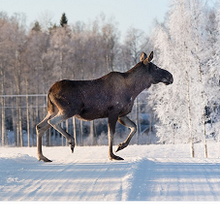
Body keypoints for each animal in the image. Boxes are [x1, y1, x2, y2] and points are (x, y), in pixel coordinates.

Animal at [36, 51, 174, 162]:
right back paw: (71, 141)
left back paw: (42, 156)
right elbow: (111, 134)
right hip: (69, 109)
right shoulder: (113, 111)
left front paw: (121, 146)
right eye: (156, 67)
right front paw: (112, 155)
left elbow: (134, 127)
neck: (134, 90)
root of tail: (49, 91)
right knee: (52, 122)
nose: (170, 76)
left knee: (40, 126)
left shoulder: (121, 114)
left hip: (53, 110)